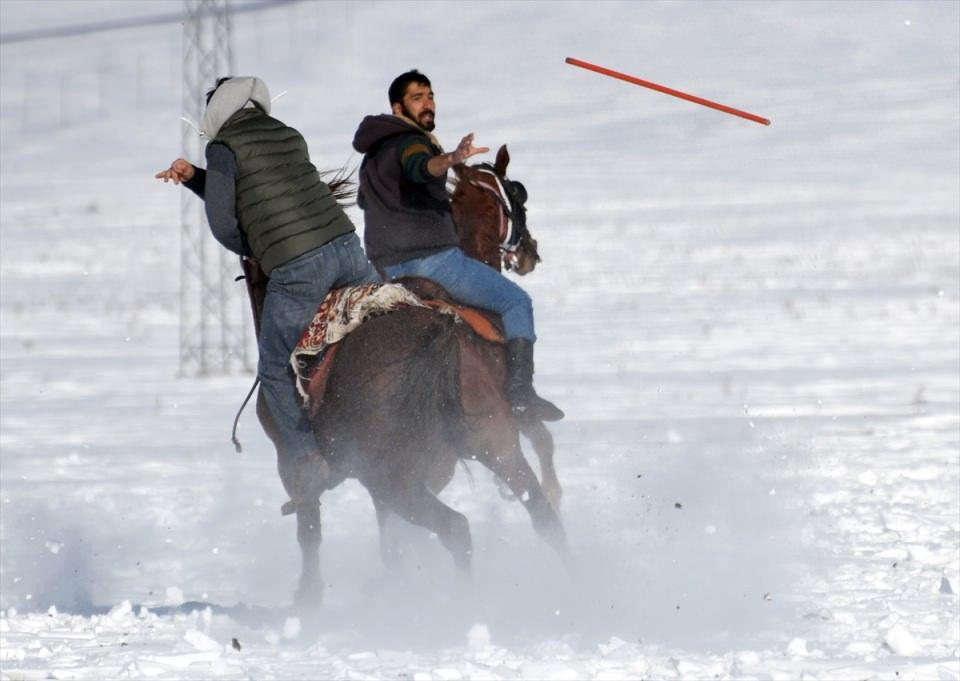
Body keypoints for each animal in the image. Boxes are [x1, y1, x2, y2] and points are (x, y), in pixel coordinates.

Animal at [244, 143, 568, 600]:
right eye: (518, 194)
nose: (530, 252)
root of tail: (437, 335)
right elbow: (540, 432)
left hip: (444, 458)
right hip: (424, 466)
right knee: (470, 525)